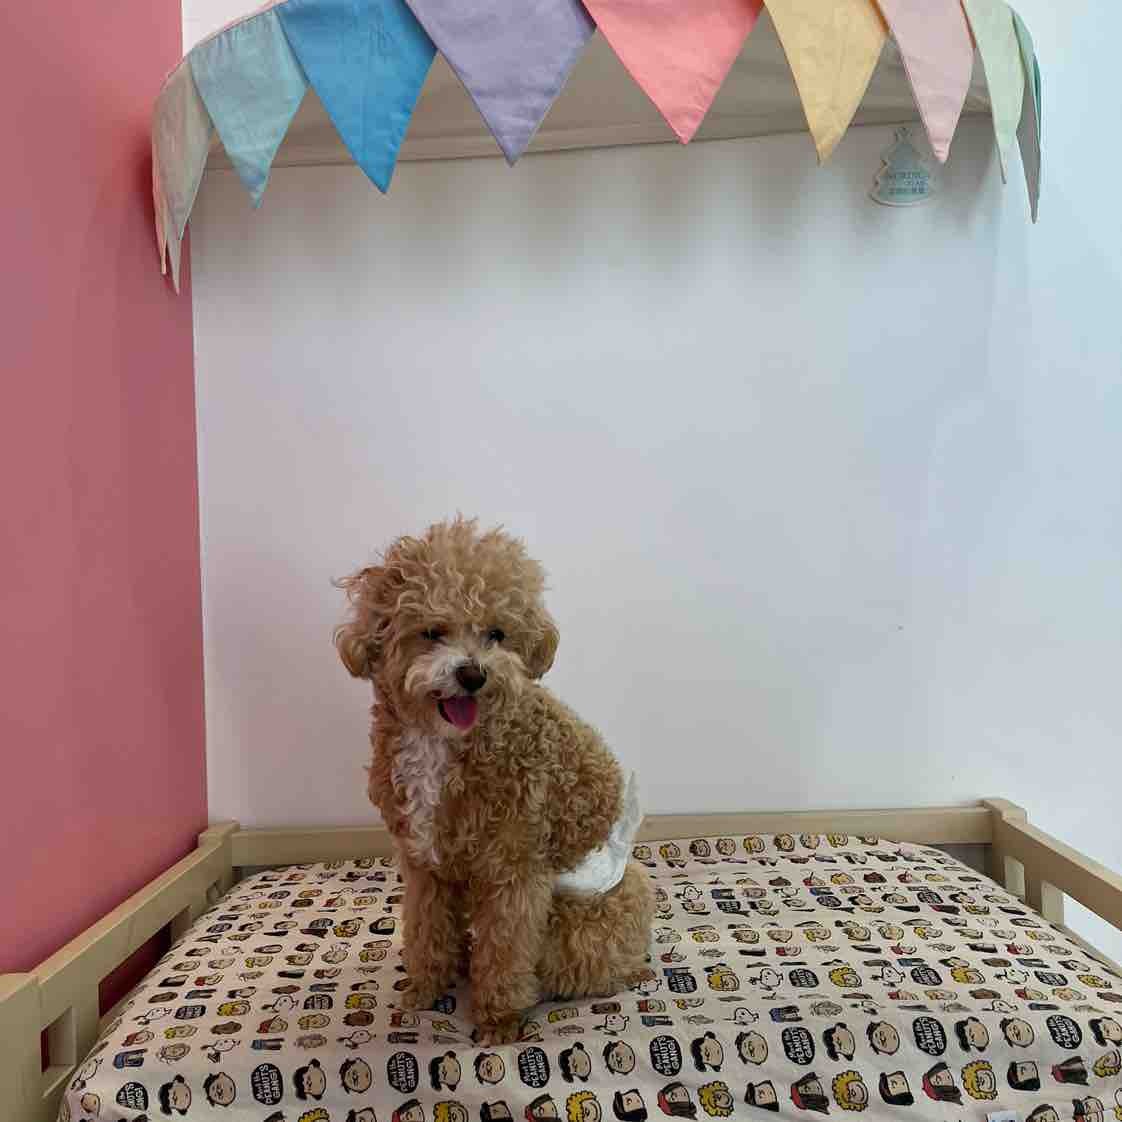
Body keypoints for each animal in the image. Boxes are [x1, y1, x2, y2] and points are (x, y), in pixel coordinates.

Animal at [335, 518, 654, 1043]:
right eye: (432, 631)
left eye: (497, 634)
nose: (472, 675)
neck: (442, 744)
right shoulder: (425, 862)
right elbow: (425, 928)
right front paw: (425, 988)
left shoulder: (514, 871)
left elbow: (505, 949)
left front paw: (498, 1019)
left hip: (578, 919)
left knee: (578, 964)